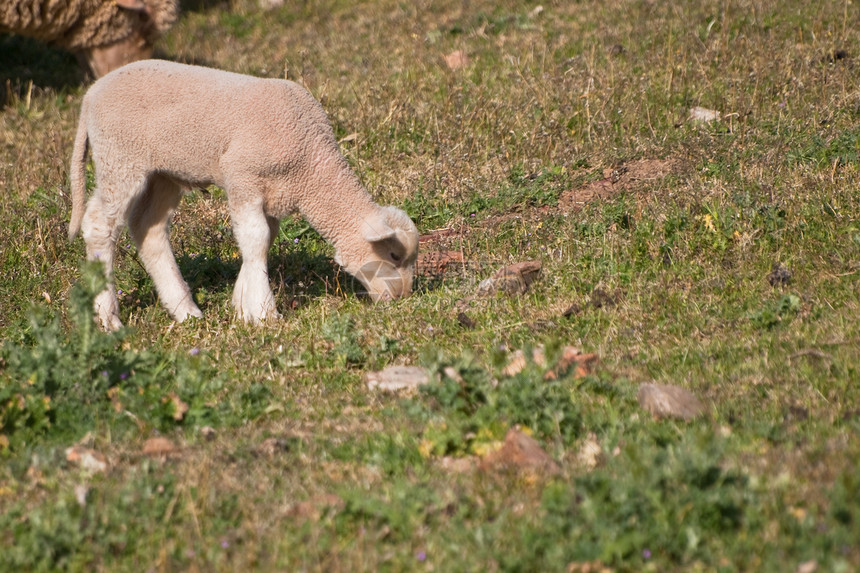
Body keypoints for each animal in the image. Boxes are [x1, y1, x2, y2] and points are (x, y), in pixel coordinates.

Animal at [68, 59, 420, 328]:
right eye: (393, 255)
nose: (402, 297)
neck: (311, 163)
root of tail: (90, 96)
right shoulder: (242, 177)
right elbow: (255, 238)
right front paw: (265, 313)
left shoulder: (272, 193)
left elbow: (263, 241)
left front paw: (242, 305)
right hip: (120, 157)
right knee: (99, 225)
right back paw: (108, 317)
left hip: (163, 173)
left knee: (148, 228)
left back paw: (186, 311)